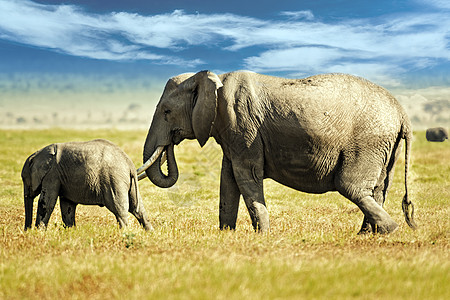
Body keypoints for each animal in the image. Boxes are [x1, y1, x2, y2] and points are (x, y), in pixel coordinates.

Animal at [21, 138, 153, 230]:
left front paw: (39, 233)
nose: (27, 230)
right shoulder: (63, 178)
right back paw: (149, 232)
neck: (38, 155)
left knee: (119, 211)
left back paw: (125, 233)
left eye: (24, 179)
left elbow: (46, 203)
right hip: (126, 183)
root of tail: (129, 163)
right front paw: (71, 231)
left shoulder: (52, 175)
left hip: (114, 181)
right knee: (138, 210)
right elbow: (67, 207)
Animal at [137, 71, 414, 234]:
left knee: (351, 186)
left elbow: (245, 175)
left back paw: (391, 230)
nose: (170, 142)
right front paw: (226, 234)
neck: (211, 77)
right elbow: (228, 179)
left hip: (368, 142)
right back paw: (370, 234)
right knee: (378, 189)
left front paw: (262, 236)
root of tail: (402, 114)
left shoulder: (242, 124)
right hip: (386, 147)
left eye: (166, 112)